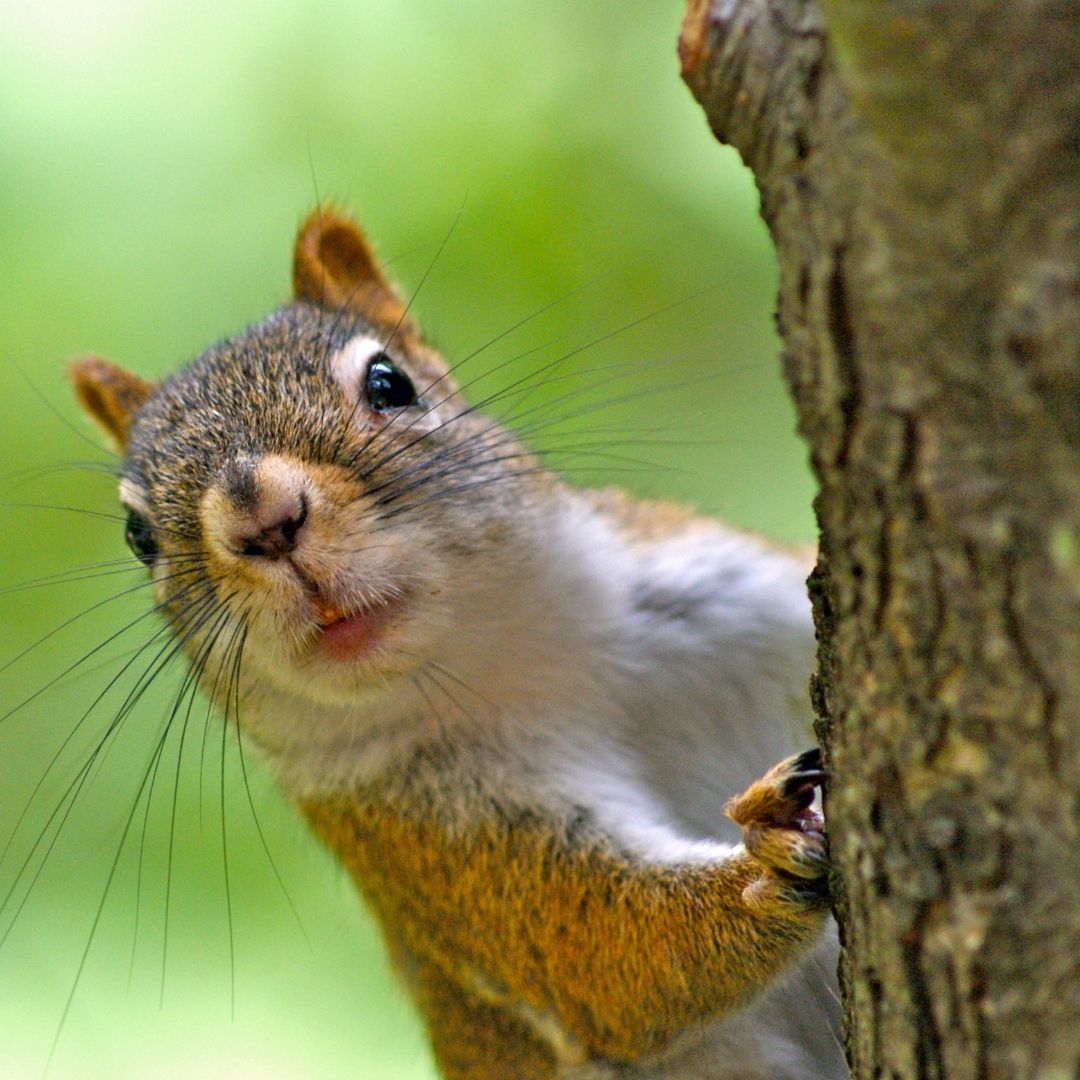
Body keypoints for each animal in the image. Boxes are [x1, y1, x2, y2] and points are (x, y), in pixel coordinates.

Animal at [69, 209, 844, 1079]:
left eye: (388, 383)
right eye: (137, 535)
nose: (262, 522)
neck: (512, 658)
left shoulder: (732, 588)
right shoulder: (427, 837)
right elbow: (604, 947)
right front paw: (769, 860)